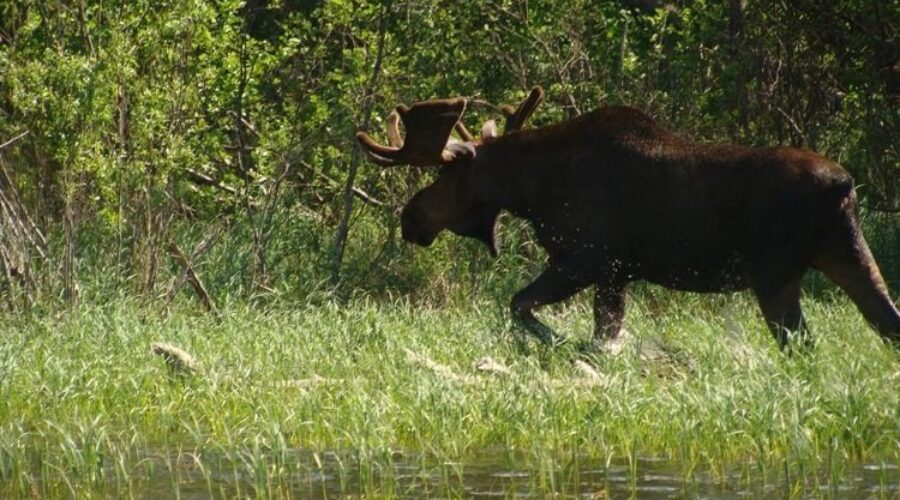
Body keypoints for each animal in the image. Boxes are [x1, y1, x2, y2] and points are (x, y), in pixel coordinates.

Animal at [355, 86, 900, 353]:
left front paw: (564, 344)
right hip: (847, 253)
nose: (410, 218)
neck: (533, 188)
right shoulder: (615, 274)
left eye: (447, 173)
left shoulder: (587, 259)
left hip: (774, 273)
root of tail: (845, 187)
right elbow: (603, 328)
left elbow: (521, 305)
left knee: (802, 346)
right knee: (885, 323)